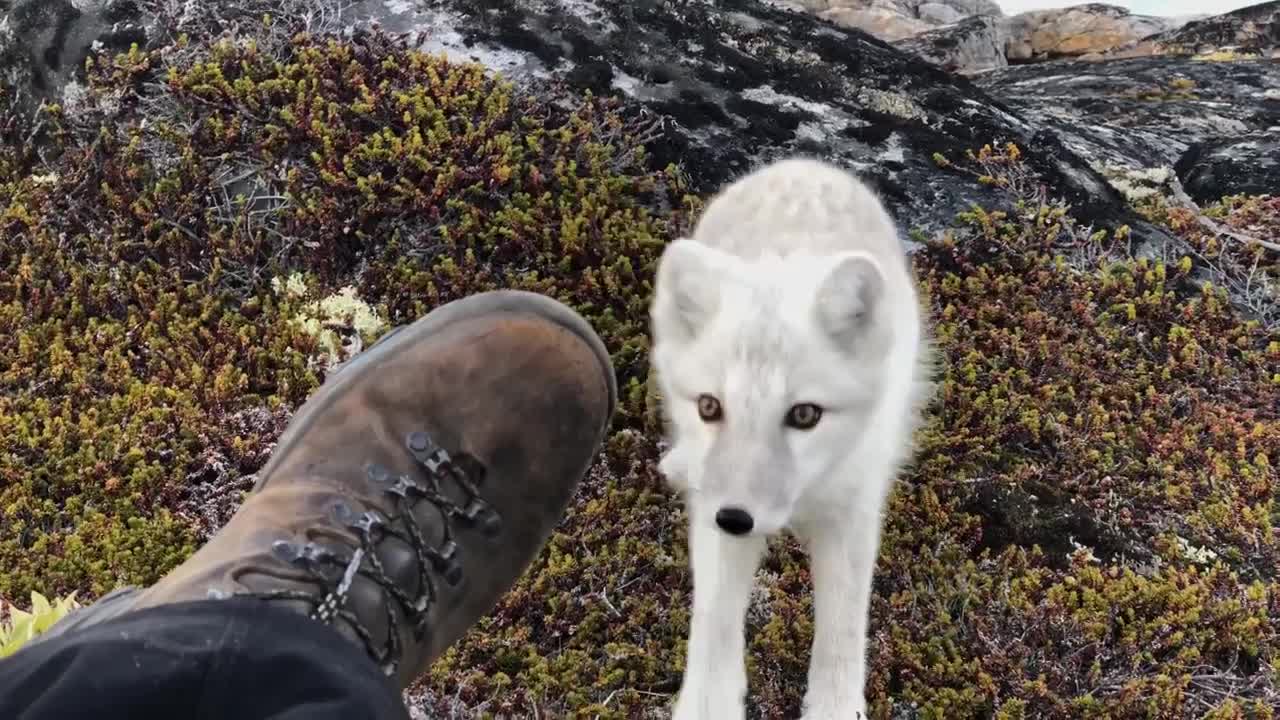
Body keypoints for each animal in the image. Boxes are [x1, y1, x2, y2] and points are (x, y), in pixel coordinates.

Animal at [650, 154, 931, 712]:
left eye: (804, 415)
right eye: (710, 407)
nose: (736, 518)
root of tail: (804, 164)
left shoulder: (851, 511)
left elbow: (842, 632)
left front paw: (836, 709)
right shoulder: (716, 517)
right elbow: (714, 622)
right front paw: (708, 707)